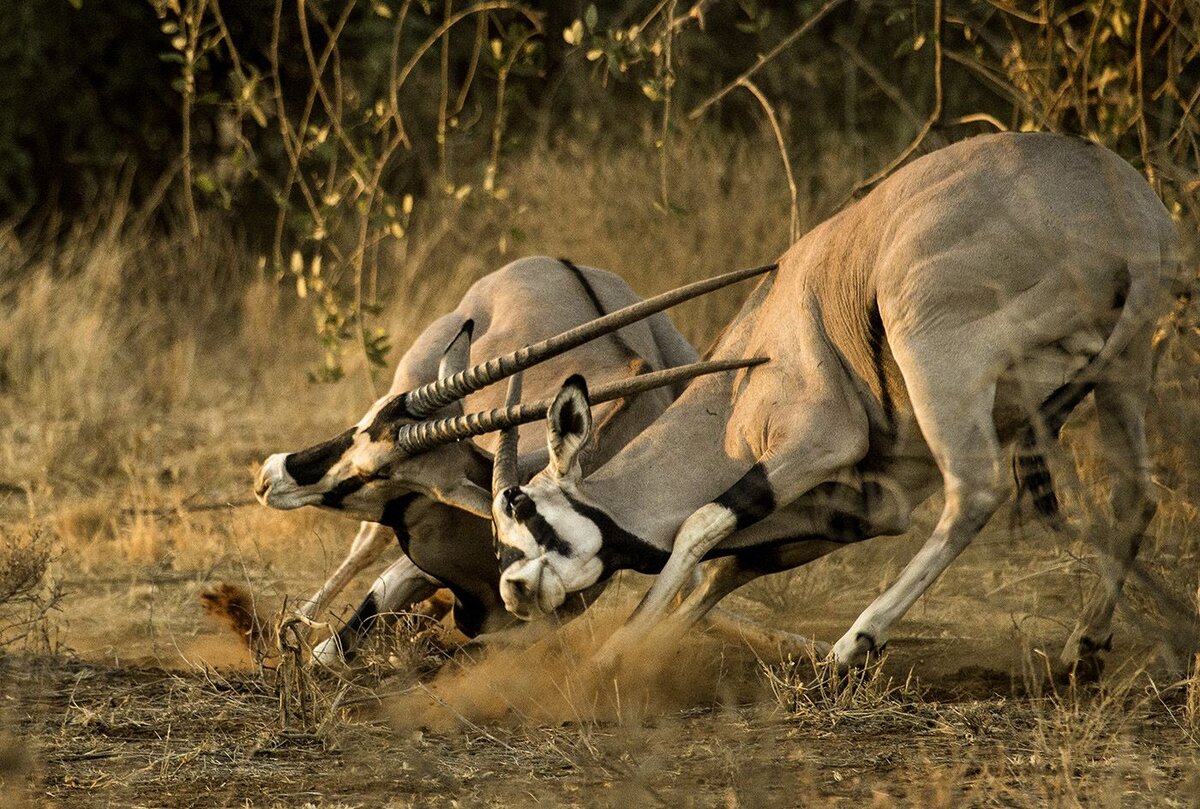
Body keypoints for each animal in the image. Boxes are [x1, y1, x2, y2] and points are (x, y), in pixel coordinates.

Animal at [258, 253, 772, 662]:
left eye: (378, 471)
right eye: (363, 427)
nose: (270, 476)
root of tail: (557, 262)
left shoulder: (532, 629)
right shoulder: (407, 571)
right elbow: (329, 653)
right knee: (363, 546)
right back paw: (290, 626)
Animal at [487, 133, 1180, 672]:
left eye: (522, 507)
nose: (514, 591)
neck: (742, 378)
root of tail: (1128, 219)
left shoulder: (819, 440)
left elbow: (700, 526)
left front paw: (614, 654)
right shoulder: (862, 506)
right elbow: (727, 567)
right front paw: (640, 649)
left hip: (936, 354)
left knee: (976, 491)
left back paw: (855, 643)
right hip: (1125, 370)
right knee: (1136, 494)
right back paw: (1085, 645)